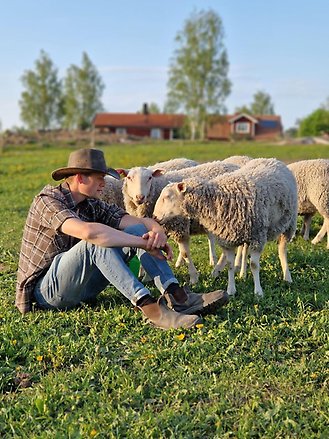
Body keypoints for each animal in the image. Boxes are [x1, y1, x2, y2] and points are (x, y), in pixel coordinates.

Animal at [152, 156, 298, 298]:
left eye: (167, 196)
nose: (154, 217)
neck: (216, 200)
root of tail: (273, 160)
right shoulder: (228, 238)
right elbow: (230, 265)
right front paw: (231, 290)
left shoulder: (258, 236)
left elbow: (254, 265)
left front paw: (258, 292)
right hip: (245, 232)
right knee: (245, 250)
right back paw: (242, 273)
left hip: (289, 223)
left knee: (282, 250)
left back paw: (287, 276)